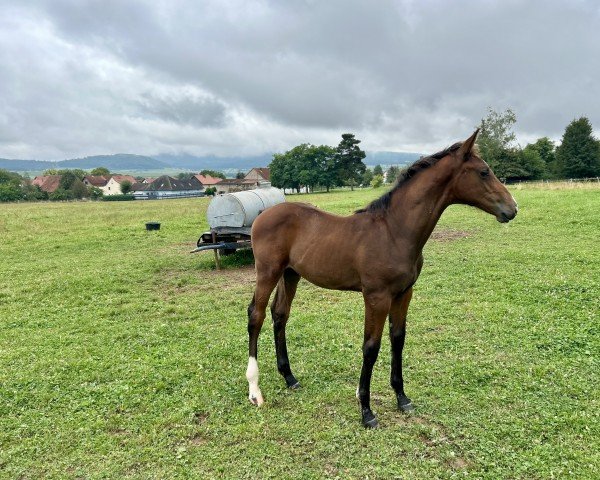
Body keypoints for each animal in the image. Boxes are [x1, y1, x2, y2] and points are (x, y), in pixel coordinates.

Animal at [246, 131, 516, 428]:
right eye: (484, 172)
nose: (512, 208)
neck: (395, 231)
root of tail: (262, 215)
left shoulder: (404, 293)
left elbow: (398, 339)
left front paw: (402, 398)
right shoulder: (376, 296)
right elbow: (371, 347)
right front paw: (366, 410)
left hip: (290, 274)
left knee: (279, 314)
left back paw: (290, 377)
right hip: (268, 271)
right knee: (256, 315)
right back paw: (255, 391)